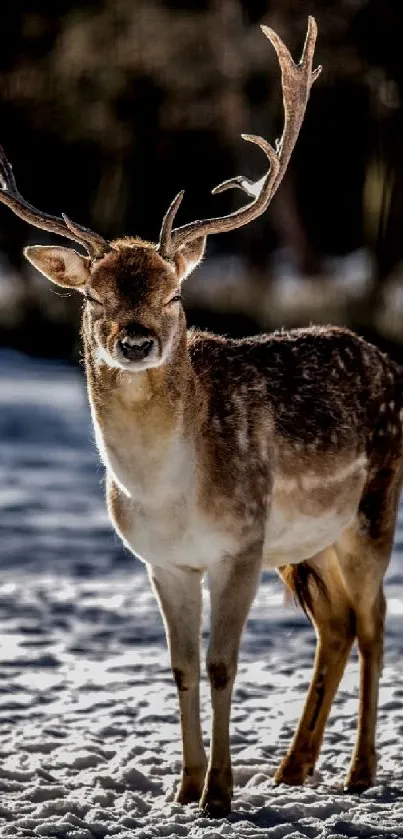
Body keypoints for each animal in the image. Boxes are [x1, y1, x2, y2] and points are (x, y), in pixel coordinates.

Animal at [1, 14, 402, 820]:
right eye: (92, 296)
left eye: (175, 294)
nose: (135, 339)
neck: (168, 493)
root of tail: (389, 362)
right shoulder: (162, 561)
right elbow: (181, 667)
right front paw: (183, 789)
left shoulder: (239, 544)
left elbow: (222, 664)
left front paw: (219, 793)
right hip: (306, 544)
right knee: (338, 625)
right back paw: (292, 768)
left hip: (372, 510)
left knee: (375, 623)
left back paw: (356, 772)